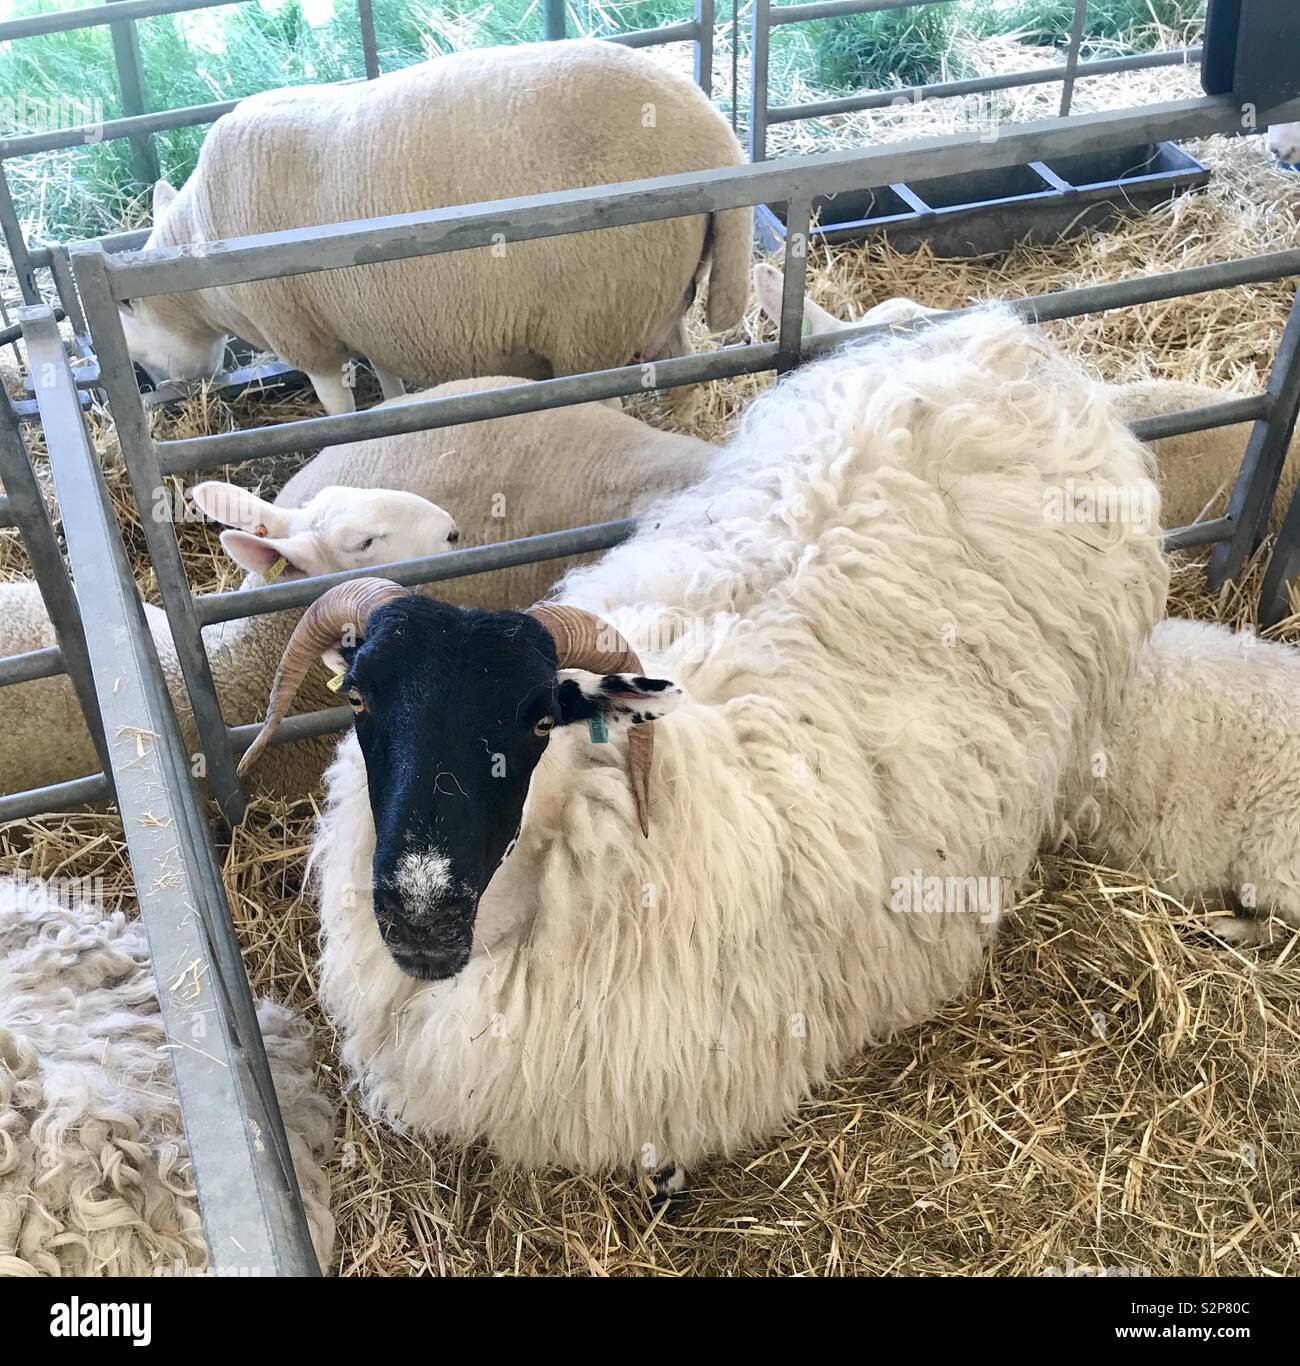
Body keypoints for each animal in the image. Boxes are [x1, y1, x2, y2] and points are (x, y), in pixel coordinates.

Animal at [118, 40, 751, 416]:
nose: (173, 396)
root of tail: (714, 135)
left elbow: (337, 412)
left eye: (137, 354)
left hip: (594, 320)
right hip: (658, 296)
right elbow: (389, 383)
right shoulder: (371, 315)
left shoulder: (304, 337)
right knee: (686, 375)